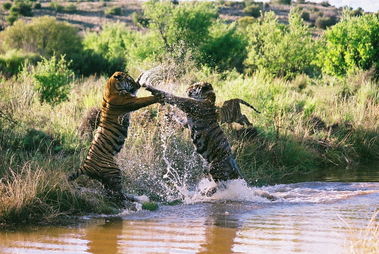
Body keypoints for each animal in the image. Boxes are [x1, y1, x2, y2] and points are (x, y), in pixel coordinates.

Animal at [68, 71, 160, 202]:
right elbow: (146, 99)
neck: (111, 87)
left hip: (106, 179)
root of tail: (84, 166)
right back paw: (137, 198)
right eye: (129, 80)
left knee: (111, 193)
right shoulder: (130, 102)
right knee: (118, 194)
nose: (137, 84)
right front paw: (159, 96)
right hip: (114, 171)